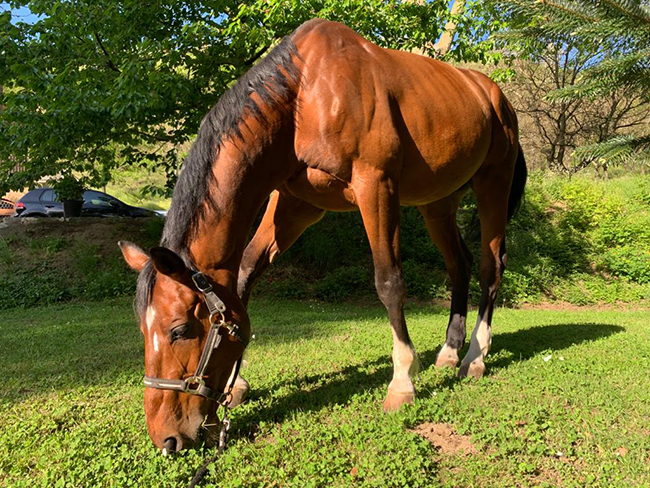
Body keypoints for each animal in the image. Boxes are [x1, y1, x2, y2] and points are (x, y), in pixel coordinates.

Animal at [120, 19, 528, 454]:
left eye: (179, 330)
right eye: (142, 331)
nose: (166, 437)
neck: (305, 95)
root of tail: (493, 95)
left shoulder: (375, 186)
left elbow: (389, 283)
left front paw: (402, 381)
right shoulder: (294, 205)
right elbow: (244, 277)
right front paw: (238, 382)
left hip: (493, 184)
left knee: (489, 267)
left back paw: (474, 357)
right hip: (437, 203)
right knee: (458, 266)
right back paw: (450, 352)